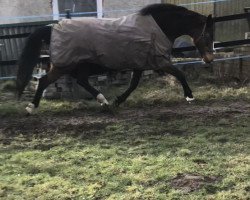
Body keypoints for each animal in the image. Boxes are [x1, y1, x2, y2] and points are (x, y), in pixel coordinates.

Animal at [16, 3, 214, 113]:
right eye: (207, 35)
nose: (209, 59)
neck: (158, 27)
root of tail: (52, 28)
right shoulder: (160, 61)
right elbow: (180, 74)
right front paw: (190, 96)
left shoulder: (139, 64)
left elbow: (133, 84)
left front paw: (119, 100)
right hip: (64, 66)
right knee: (45, 81)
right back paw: (31, 107)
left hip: (76, 65)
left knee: (80, 81)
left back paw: (103, 101)